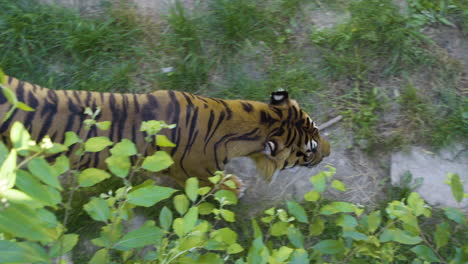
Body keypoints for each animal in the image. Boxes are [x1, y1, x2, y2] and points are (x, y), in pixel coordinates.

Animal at [0, 75, 330, 195]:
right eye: (309, 151)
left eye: (315, 127)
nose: (330, 151)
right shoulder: (195, 173)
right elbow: (217, 183)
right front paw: (236, 187)